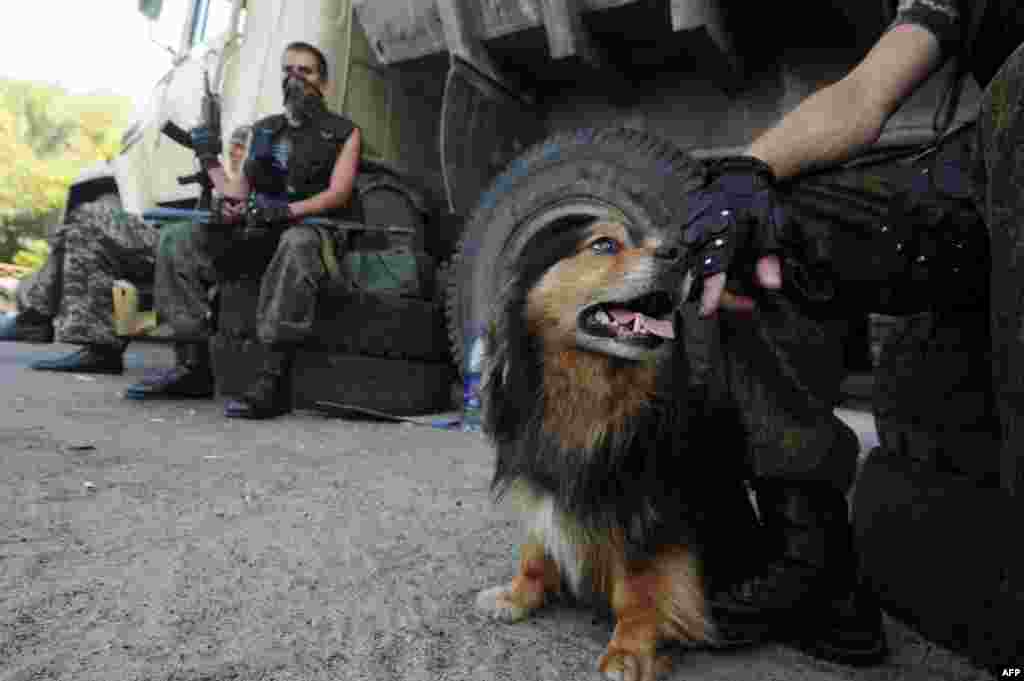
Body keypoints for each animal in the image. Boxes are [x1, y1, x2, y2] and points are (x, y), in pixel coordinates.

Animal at [475, 220, 757, 675]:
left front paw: (631, 648)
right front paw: (517, 594)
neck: (589, 390)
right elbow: (537, 549)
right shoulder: (541, 477)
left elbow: (640, 586)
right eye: (604, 244)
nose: (684, 254)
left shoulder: (650, 505)